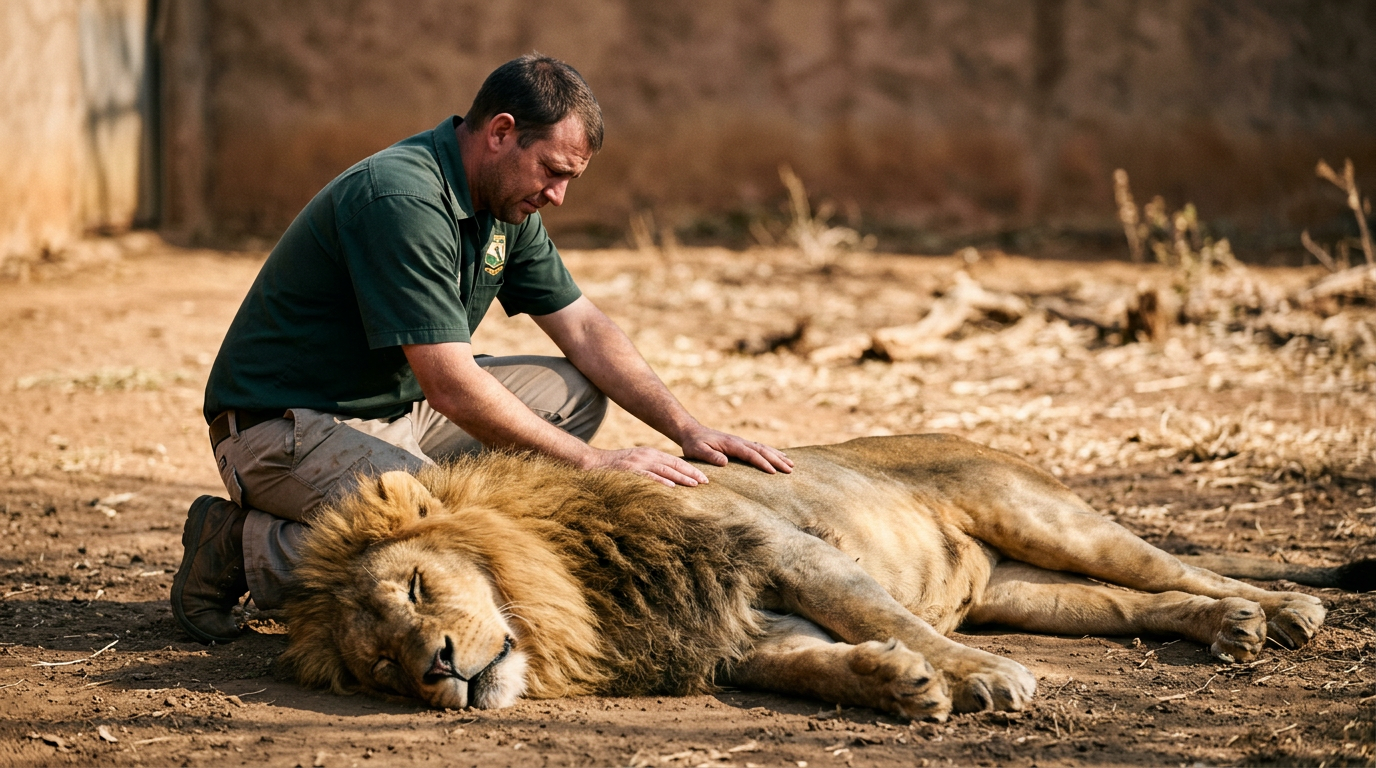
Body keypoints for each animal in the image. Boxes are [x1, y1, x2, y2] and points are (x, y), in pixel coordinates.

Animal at [279, 434, 1371, 720]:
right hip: (1031, 592)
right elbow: (813, 665)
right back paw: (1229, 628)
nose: (438, 670)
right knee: (1148, 600)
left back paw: (1283, 611)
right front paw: (898, 685)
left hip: (1047, 519)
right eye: (381, 667)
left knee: (1175, 562)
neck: (579, 596)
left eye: (416, 592)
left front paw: (980, 680)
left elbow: (880, 614)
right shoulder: (736, 632)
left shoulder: (783, 554)